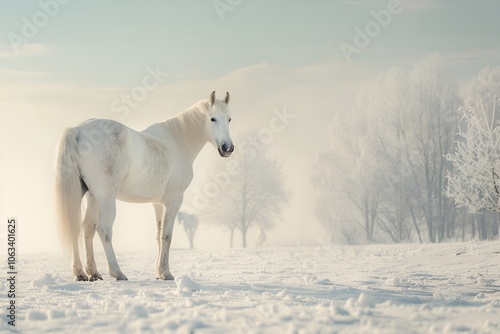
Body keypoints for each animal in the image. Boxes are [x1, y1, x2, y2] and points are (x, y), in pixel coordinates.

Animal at [54, 91, 234, 282]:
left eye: (229, 119)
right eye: (213, 118)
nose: (227, 148)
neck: (177, 142)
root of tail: (78, 130)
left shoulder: (157, 203)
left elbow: (158, 235)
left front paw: (158, 272)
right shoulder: (174, 200)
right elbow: (167, 236)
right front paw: (166, 272)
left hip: (91, 196)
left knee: (82, 228)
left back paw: (87, 273)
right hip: (106, 198)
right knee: (104, 230)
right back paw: (117, 272)